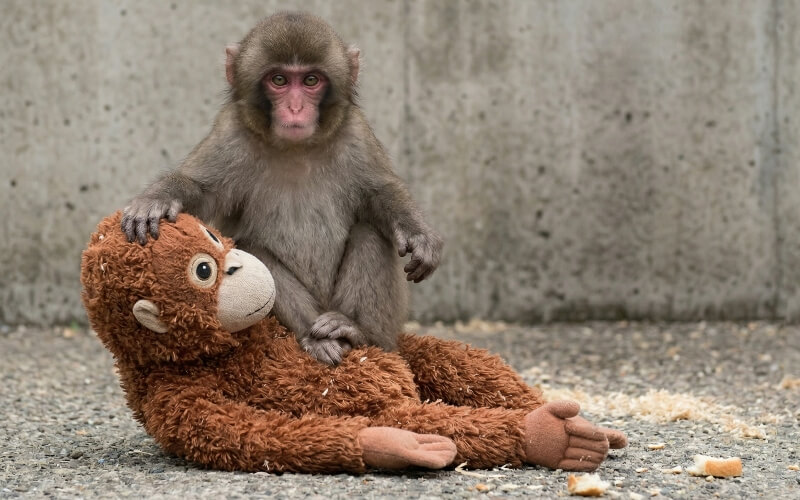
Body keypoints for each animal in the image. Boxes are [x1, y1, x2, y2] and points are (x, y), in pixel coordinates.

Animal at [121, 12, 443, 365]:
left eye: (311, 81)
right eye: (279, 80)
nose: (295, 109)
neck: (296, 149)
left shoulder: (356, 133)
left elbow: (379, 193)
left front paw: (418, 233)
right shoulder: (231, 133)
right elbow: (200, 191)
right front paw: (158, 199)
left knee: (370, 233)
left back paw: (355, 332)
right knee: (252, 249)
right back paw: (314, 340)